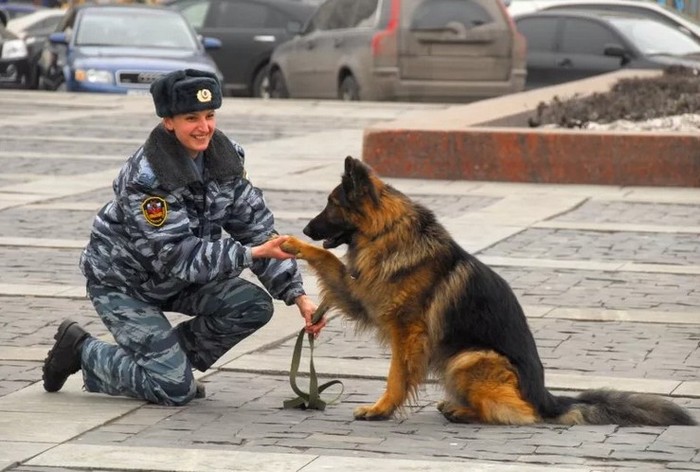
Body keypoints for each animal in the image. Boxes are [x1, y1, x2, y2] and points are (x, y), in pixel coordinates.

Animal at [282, 157, 696, 426]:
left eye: (331, 204)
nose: (305, 228)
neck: (390, 231)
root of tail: (546, 396)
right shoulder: (360, 295)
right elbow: (327, 258)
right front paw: (289, 244)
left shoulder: (406, 332)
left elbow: (396, 376)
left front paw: (380, 409)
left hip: (468, 358)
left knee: (521, 414)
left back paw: (465, 412)